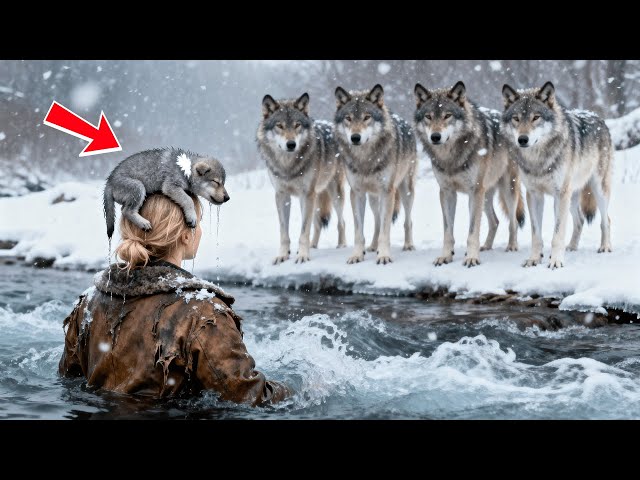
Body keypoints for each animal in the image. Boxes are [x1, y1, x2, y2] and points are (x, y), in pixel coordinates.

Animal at [257, 92, 346, 264]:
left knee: (341, 222)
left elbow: (304, 230)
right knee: (317, 223)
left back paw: (341, 246)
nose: (291, 144)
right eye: (279, 125)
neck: (288, 166)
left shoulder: (307, 194)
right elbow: (284, 231)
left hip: (334, 194)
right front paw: (283, 255)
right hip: (312, 199)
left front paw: (303, 256)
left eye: (297, 125)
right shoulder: (282, 195)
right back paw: (313, 246)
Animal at [334, 84, 417, 265]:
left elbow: (386, 230)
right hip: (373, 197)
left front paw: (384, 255)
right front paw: (357, 255)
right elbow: (359, 231)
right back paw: (373, 246)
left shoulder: (387, 192)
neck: (365, 159)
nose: (355, 137)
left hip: (406, 191)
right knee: (377, 221)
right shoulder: (357, 193)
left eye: (367, 117)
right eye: (348, 118)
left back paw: (408, 245)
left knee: (408, 220)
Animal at [414, 81, 525, 267]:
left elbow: (473, 231)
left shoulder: (474, 191)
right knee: (495, 221)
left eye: (447, 115)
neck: (450, 158)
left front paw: (472, 258)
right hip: (486, 195)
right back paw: (486, 246)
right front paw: (446, 256)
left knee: (513, 221)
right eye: (428, 116)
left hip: (506, 190)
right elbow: (448, 232)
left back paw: (512, 246)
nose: (435, 136)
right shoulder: (447, 192)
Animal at [501, 81, 613, 269]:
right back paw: (572, 247)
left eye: (536, 117)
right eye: (516, 118)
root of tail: (597, 116)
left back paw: (605, 247)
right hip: (572, 195)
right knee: (580, 220)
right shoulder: (534, 194)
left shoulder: (560, 194)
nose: (522, 139)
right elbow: (536, 234)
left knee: (607, 220)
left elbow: (558, 233)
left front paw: (555, 261)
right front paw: (534, 259)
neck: (538, 160)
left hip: (597, 189)